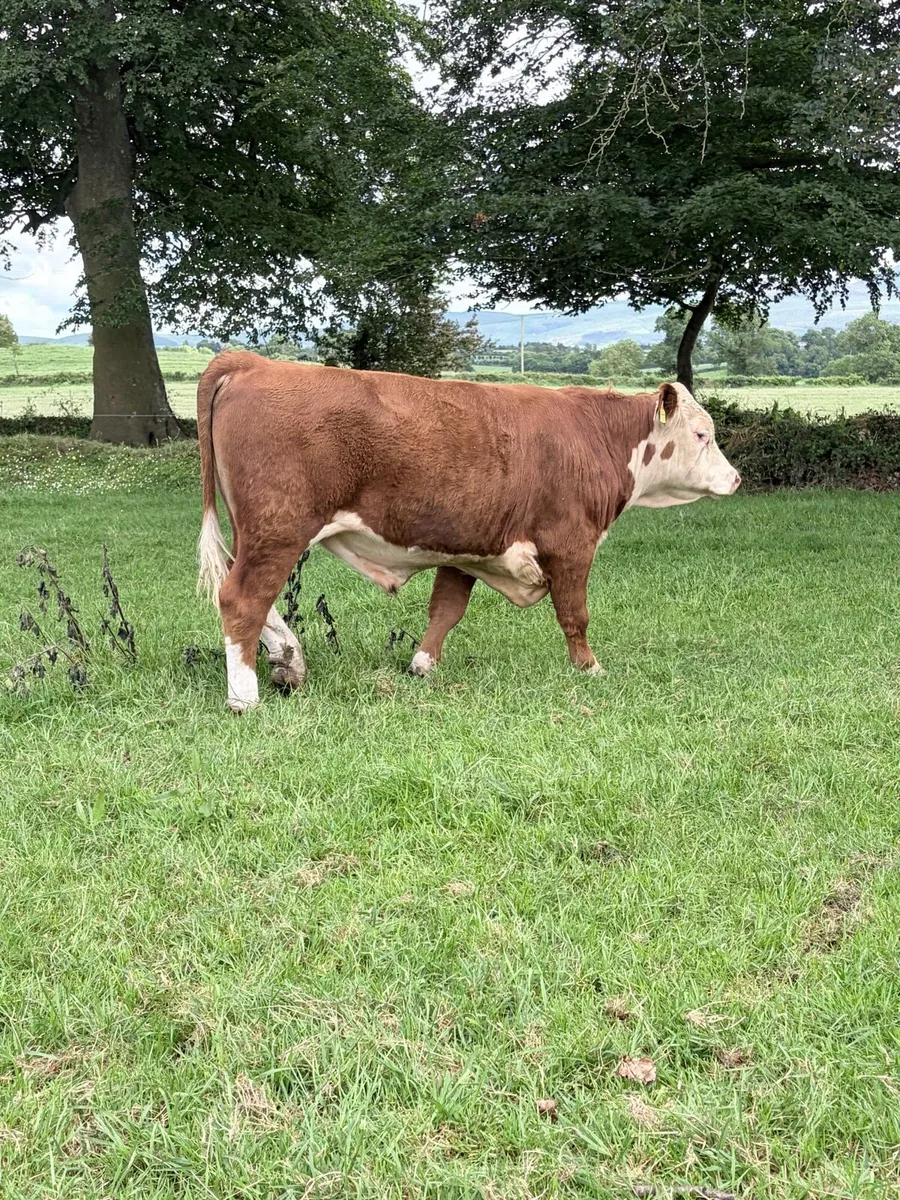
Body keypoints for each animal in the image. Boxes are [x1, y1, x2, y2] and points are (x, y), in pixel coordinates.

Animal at [197, 352, 740, 712]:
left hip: (256, 532)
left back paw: (288, 660)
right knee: (242, 599)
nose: (735, 479)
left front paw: (422, 665)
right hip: (280, 528)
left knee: (240, 591)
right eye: (701, 434)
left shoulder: (469, 547)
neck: (593, 437)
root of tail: (253, 362)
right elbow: (575, 614)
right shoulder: (571, 544)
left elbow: (446, 610)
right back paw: (245, 698)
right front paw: (589, 668)